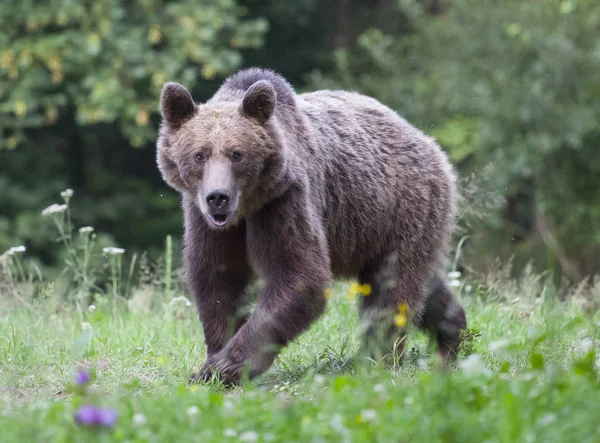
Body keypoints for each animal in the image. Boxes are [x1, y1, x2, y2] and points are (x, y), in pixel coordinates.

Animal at [157, 67, 466, 386]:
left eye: (236, 154)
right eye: (199, 155)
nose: (218, 197)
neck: (247, 208)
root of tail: (428, 142)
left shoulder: (284, 202)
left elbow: (299, 274)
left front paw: (226, 365)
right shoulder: (207, 222)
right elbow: (218, 279)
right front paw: (212, 362)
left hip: (400, 207)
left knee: (391, 288)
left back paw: (376, 359)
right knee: (422, 282)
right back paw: (452, 334)